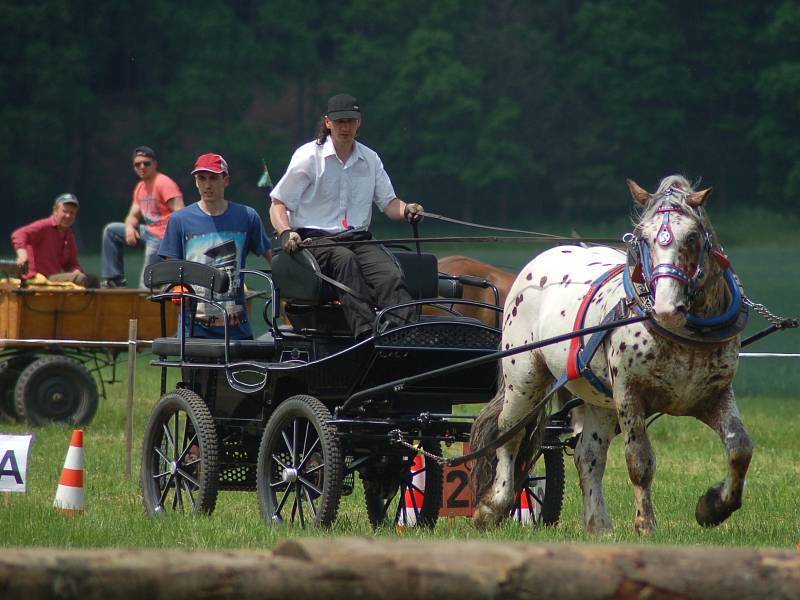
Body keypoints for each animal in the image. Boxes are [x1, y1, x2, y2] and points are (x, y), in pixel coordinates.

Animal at [468, 175, 752, 536]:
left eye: (692, 236)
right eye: (643, 237)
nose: (666, 309)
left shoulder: (714, 395)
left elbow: (739, 448)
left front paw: (713, 507)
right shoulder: (630, 395)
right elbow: (640, 460)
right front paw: (646, 525)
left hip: (599, 400)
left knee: (588, 456)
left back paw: (598, 524)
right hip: (524, 379)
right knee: (510, 434)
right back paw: (494, 506)